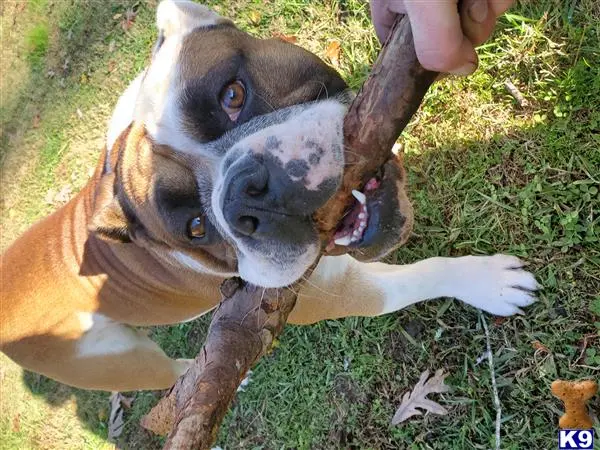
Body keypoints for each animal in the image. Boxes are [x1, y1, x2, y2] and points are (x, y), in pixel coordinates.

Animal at [0, 0, 536, 394]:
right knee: (164, 375)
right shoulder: (330, 295)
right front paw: (487, 281)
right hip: (121, 359)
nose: (246, 192)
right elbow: (418, 277)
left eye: (232, 96)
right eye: (196, 227)